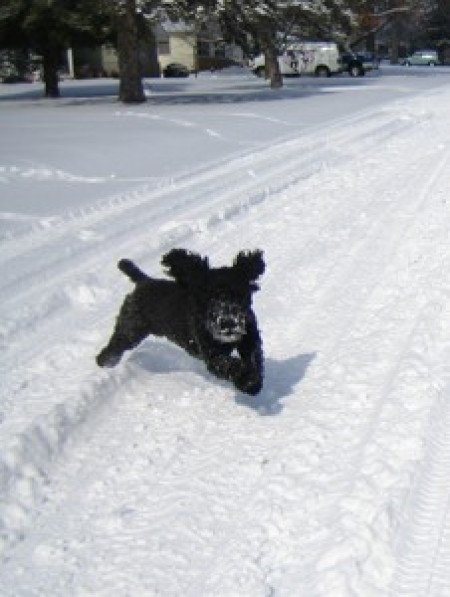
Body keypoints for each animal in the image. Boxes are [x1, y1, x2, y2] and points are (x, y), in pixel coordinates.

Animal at [95, 248, 264, 394]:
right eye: (208, 297)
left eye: (239, 294)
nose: (228, 323)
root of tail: (144, 281)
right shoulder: (211, 354)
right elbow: (229, 365)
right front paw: (246, 380)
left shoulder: (250, 338)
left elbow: (253, 358)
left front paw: (253, 382)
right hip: (131, 328)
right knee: (115, 345)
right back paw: (104, 362)